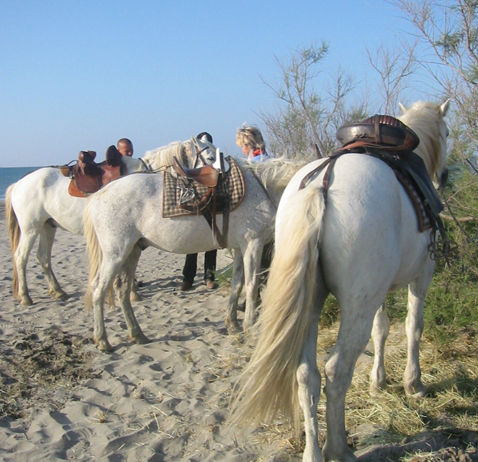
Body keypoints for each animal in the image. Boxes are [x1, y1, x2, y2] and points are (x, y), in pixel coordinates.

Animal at [4, 139, 215, 308]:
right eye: (211, 157)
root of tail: (18, 183)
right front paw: (132, 293)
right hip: (30, 228)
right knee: (21, 257)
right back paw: (25, 296)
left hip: (48, 226)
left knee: (43, 258)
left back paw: (58, 291)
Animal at [82, 155, 310, 350]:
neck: (263, 187)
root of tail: (97, 195)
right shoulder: (253, 243)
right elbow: (252, 286)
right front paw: (251, 330)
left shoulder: (240, 248)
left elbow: (237, 285)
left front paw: (233, 325)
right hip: (116, 254)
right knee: (98, 290)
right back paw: (102, 340)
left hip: (132, 252)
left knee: (122, 290)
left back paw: (137, 334)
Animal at [230, 101, 450, 462]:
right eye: (446, 131)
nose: (444, 176)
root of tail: (321, 184)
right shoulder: (422, 276)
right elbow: (413, 327)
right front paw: (413, 384)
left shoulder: (377, 293)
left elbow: (381, 329)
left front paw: (378, 382)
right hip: (355, 307)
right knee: (336, 371)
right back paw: (339, 449)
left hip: (313, 305)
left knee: (307, 374)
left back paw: (313, 452)